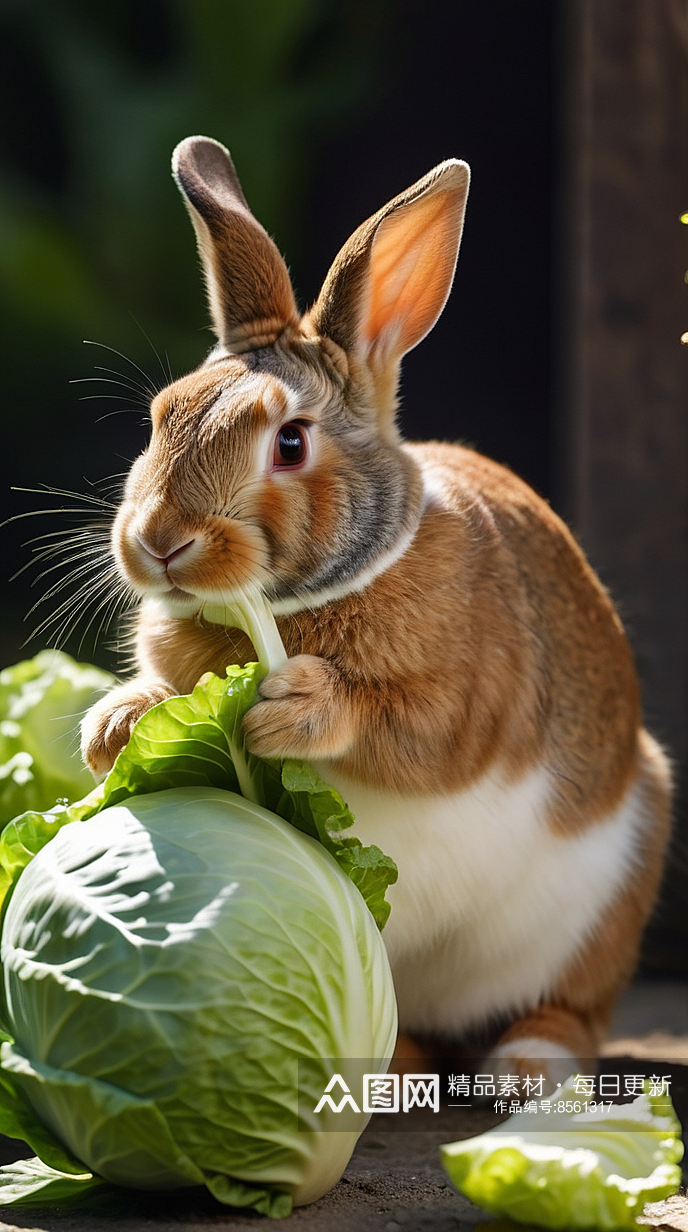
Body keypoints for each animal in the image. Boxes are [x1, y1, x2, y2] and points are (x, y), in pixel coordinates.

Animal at [80, 134, 675, 1089]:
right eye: (161, 416)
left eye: (290, 442)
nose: (160, 541)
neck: (306, 599)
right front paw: (116, 723)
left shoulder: (470, 705)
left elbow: (415, 730)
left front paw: (294, 709)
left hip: (618, 879)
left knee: (573, 1009)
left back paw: (524, 1067)